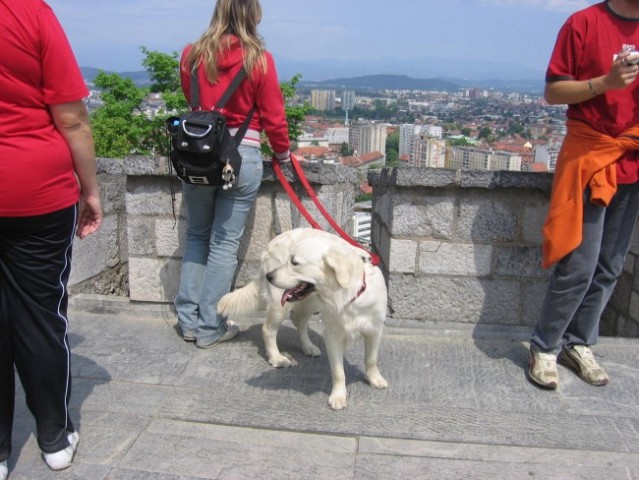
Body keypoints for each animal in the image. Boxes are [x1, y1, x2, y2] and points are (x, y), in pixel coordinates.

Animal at [220, 228, 388, 408]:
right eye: (289, 260)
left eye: (294, 262)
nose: (269, 276)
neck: (347, 296)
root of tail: (271, 243)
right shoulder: (332, 335)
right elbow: (338, 371)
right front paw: (338, 396)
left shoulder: (374, 329)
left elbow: (371, 358)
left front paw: (374, 378)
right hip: (280, 304)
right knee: (268, 329)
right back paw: (276, 357)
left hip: (309, 302)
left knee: (299, 321)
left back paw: (308, 347)